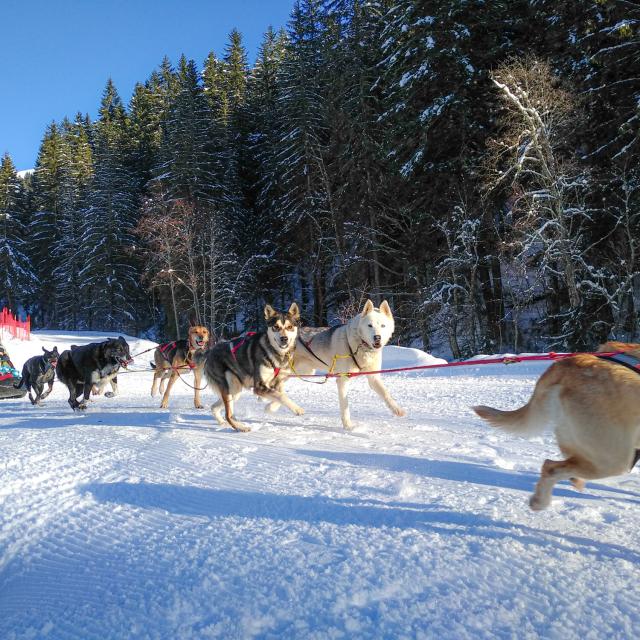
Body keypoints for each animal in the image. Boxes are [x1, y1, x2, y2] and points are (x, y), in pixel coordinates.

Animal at [201, 302, 304, 432]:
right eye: (276, 327)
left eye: (290, 327)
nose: (284, 338)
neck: (275, 353)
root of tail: (210, 352)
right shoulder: (259, 386)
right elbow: (281, 396)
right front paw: (297, 409)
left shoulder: (278, 382)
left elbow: (280, 395)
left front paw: (269, 407)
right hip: (229, 388)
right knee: (228, 414)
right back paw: (241, 427)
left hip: (234, 391)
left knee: (215, 408)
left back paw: (223, 422)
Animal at [288, 300, 404, 430]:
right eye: (370, 325)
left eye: (383, 326)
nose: (377, 337)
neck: (360, 346)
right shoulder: (342, 379)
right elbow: (345, 406)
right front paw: (348, 425)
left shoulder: (373, 377)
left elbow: (386, 394)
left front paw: (397, 409)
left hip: (304, 371)